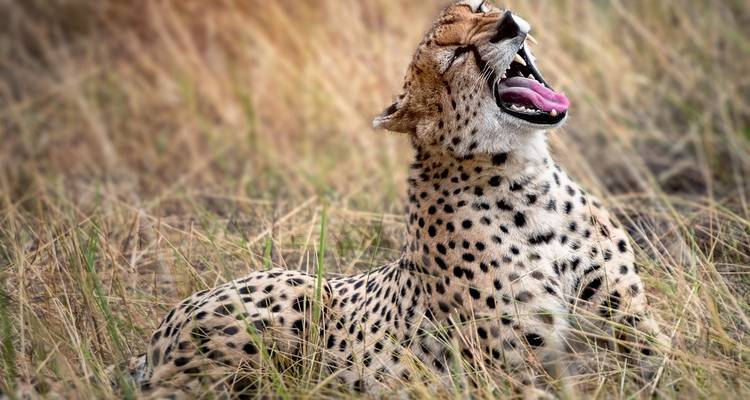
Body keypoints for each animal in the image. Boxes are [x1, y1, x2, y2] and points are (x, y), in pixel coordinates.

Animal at [132, 1, 671, 398]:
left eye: (480, 6)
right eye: (457, 55)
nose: (508, 22)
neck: (526, 177)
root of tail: (154, 339)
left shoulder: (629, 322)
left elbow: (668, 357)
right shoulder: (517, 373)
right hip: (294, 294)